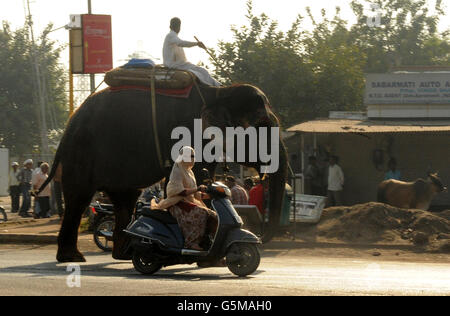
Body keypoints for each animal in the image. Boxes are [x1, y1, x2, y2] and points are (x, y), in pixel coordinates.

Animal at [38, 81, 286, 262]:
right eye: (261, 125)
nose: (260, 236)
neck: (219, 92)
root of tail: (70, 123)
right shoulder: (189, 134)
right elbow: (188, 179)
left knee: (125, 199)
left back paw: (124, 254)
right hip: (81, 152)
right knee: (79, 198)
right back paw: (73, 258)